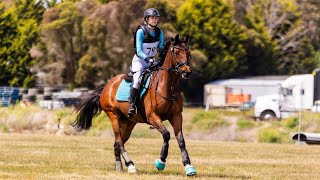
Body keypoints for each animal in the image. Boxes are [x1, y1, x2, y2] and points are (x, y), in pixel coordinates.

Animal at [71, 33, 196, 176]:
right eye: (176, 52)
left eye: (188, 52)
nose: (187, 71)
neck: (167, 87)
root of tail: (107, 86)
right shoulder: (153, 117)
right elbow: (166, 135)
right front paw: (160, 162)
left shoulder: (176, 116)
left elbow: (181, 140)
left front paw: (189, 166)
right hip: (113, 116)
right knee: (119, 141)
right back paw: (131, 166)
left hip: (128, 122)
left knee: (117, 143)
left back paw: (119, 167)